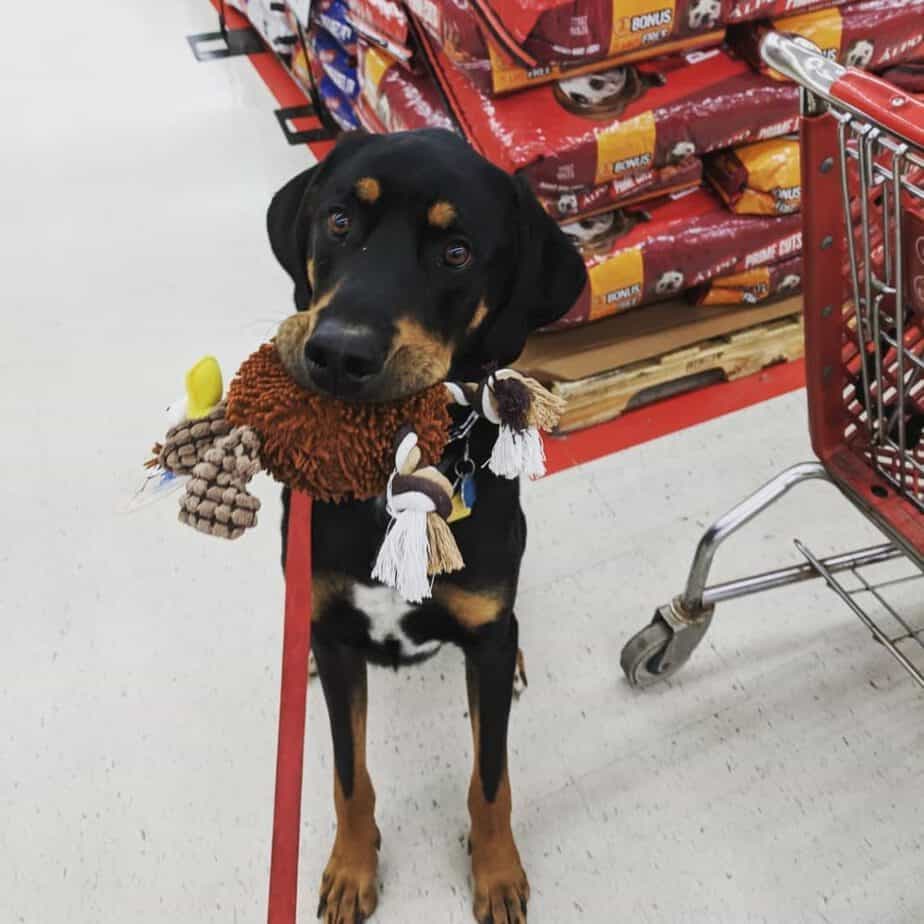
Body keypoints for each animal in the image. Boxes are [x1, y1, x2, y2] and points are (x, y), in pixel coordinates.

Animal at [268, 128, 584, 924]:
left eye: (457, 252)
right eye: (339, 220)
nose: (339, 353)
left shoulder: (483, 628)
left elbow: (491, 781)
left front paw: (498, 875)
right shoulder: (336, 631)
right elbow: (349, 777)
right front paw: (351, 870)